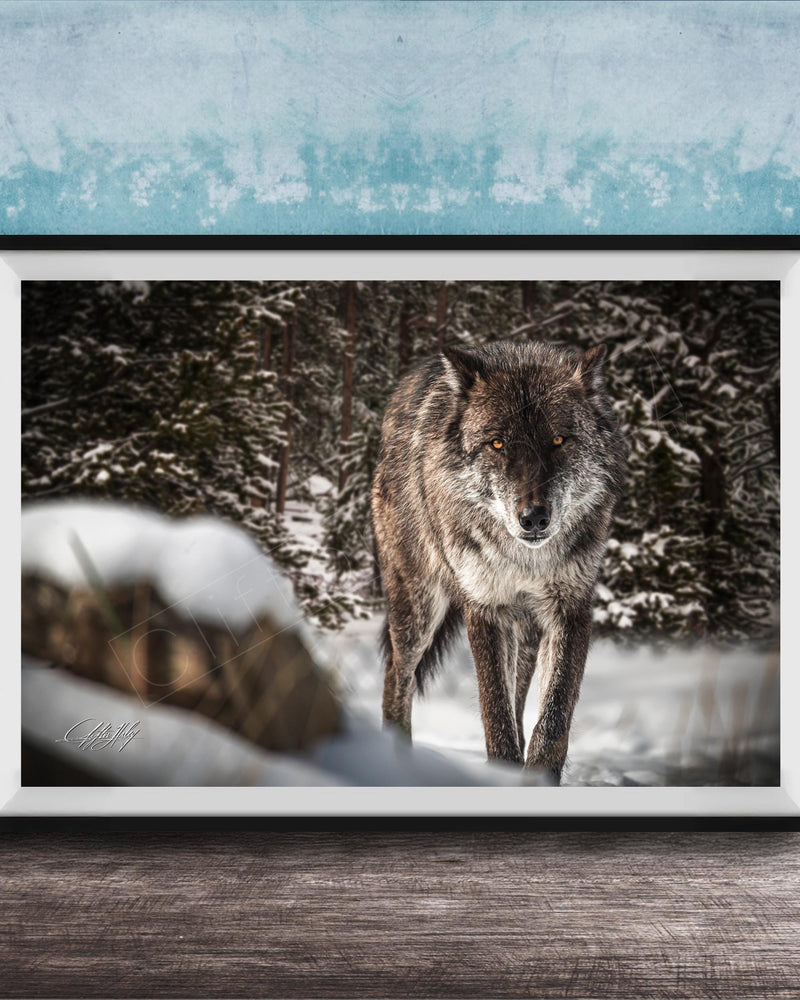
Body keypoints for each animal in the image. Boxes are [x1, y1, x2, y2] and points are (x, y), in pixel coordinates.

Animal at [371, 340, 625, 782]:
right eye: (497, 444)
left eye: (559, 440)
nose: (534, 517)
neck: (525, 561)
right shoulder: (485, 608)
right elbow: (496, 716)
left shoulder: (571, 607)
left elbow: (553, 719)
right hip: (418, 610)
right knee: (397, 678)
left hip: (526, 633)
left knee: (520, 699)